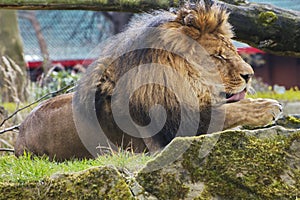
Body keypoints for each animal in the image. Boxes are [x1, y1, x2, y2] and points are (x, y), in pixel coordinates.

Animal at [14, 2, 282, 161]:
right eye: (217, 56)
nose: (250, 75)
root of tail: (18, 139)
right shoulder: (172, 133)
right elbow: (227, 110)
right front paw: (268, 107)